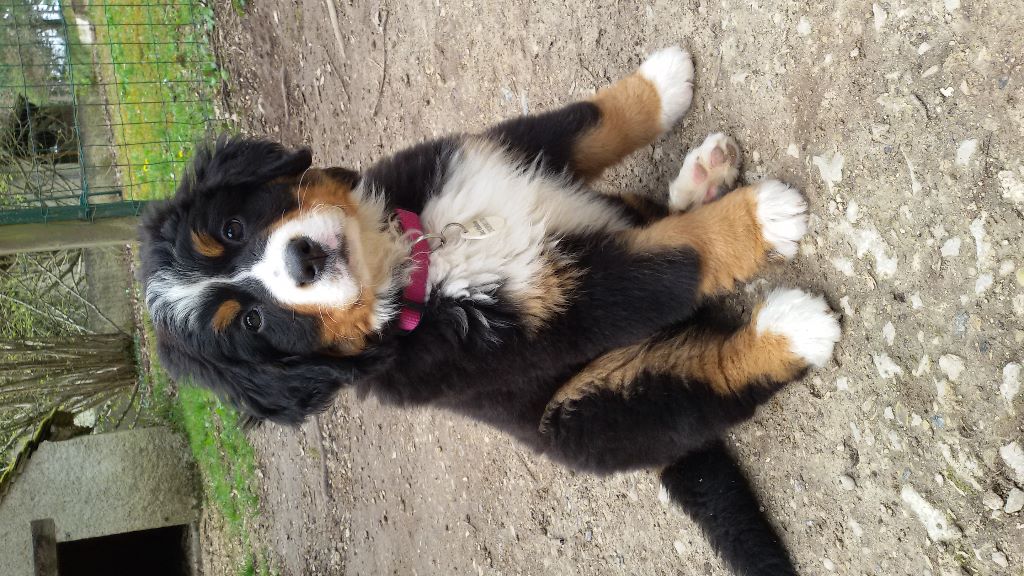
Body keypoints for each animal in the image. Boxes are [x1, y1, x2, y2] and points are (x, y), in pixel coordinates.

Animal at [142, 47, 839, 569]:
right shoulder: (566, 314)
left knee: (645, 214)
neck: (417, 256)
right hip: (581, 413)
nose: (303, 260)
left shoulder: (497, 153)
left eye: (232, 227)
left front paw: (663, 82)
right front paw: (759, 221)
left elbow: (590, 119)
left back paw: (705, 175)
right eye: (253, 322)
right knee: (702, 384)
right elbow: (673, 262)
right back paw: (791, 327)